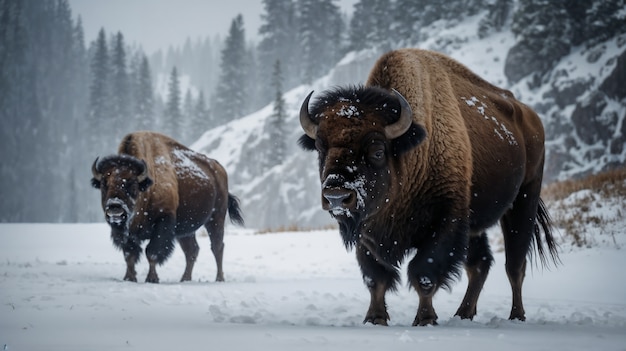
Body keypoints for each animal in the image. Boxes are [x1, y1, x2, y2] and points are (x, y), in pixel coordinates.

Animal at [91, 131, 243, 284]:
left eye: (132, 184)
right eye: (104, 184)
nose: (115, 207)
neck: (147, 186)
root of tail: (219, 170)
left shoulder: (162, 223)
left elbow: (151, 252)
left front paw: (152, 278)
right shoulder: (126, 232)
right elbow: (129, 254)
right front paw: (129, 278)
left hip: (216, 218)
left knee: (217, 247)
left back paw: (219, 278)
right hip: (186, 230)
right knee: (192, 250)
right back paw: (185, 279)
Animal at [298, 48, 556, 328]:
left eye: (377, 150)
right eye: (321, 149)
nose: (337, 196)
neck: (409, 152)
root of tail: (530, 117)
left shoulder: (446, 221)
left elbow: (423, 272)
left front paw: (425, 319)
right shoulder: (367, 230)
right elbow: (375, 276)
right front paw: (375, 318)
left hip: (524, 200)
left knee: (515, 265)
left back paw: (516, 316)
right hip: (476, 224)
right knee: (480, 265)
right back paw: (463, 313)